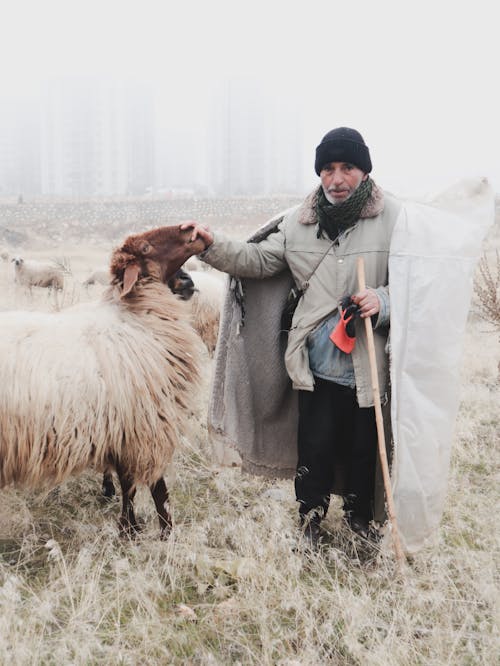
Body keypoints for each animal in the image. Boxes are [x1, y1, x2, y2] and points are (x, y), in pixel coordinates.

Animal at [0, 226, 206, 536]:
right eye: (146, 247)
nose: (188, 281)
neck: (136, 319)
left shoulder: (120, 431)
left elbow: (128, 483)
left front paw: (130, 527)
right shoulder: (143, 427)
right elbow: (154, 489)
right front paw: (159, 532)